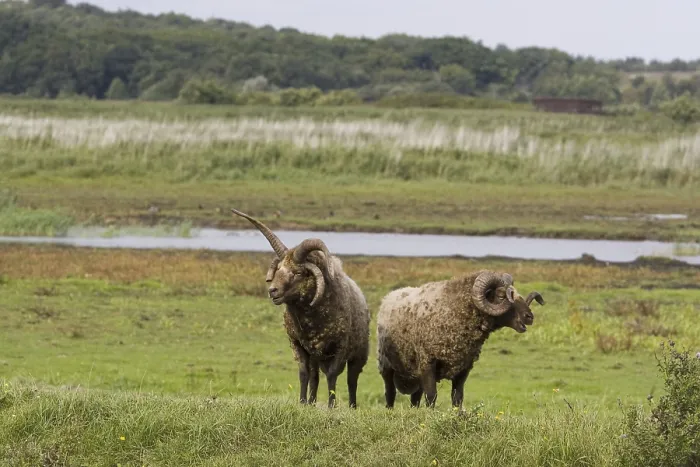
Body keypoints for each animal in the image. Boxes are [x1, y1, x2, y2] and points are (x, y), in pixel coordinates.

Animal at [231, 208, 370, 409]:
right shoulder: (298, 344)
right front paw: (303, 402)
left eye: (297, 272)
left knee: (352, 379)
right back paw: (311, 402)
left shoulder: (340, 347)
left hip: (358, 354)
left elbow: (332, 375)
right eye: (278, 269)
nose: (272, 290)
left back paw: (352, 405)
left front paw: (331, 405)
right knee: (315, 377)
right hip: (316, 356)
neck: (311, 320)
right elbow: (304, 374)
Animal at [377, 269, 545, 409]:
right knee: (390, 393)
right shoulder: (427, 363)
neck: (456, 311)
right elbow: (431, 396)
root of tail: (388, 296)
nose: (529, 317)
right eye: (502, 296)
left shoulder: (464, 367)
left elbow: (457, 397)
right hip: (386, 365)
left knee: (415, 398)